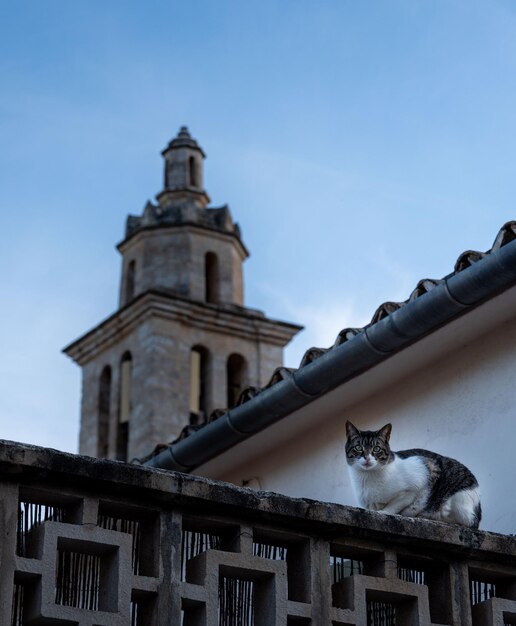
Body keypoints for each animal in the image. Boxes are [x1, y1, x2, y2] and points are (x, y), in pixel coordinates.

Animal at [344, 420, 482, 528]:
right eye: (358, 448)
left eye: (376, 449)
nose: (367, 458)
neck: (366, 478)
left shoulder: (423, 471)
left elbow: (395, 505)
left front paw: (383, 512)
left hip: (457, 503)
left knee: (464, 520)